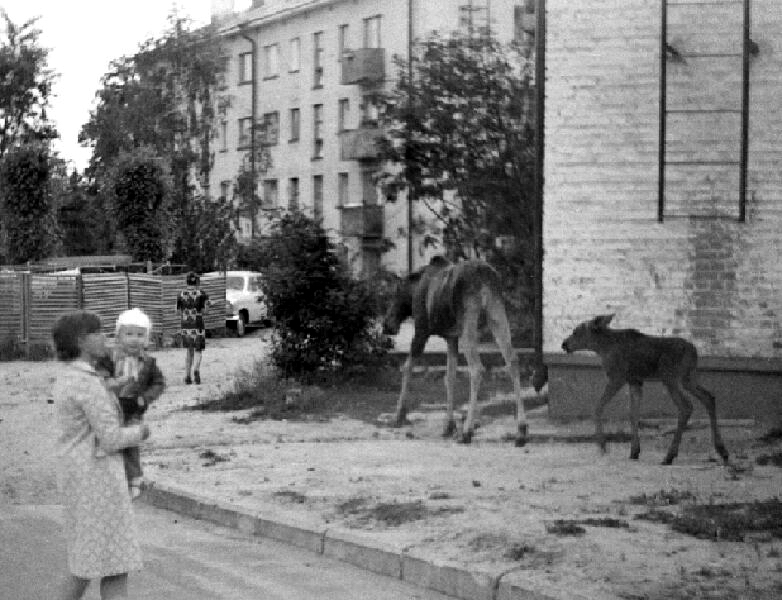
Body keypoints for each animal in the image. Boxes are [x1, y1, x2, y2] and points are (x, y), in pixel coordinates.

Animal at [384, 254, 536, 446]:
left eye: (396, 292)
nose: (386, 324)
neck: (415, 286)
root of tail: (485, 276)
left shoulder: (422, 331)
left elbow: (407, 368)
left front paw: (399, 414)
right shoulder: (451, 338)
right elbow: (449, 377)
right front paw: (448, 426)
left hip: (468, 322)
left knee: (477, 368)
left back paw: (467, 432)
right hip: (496, 314)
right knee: (512, 360)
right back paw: (521, 430)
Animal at [564, 314, 728, 464]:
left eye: (576, 331)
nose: (564, 344)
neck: (602, 347)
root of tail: (694, 352)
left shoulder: (617, 377)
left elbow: (598, 407)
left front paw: (603, 446)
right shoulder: (635, 381)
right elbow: (633, 414)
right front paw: (634, 451)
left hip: (670, 378)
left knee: (686, 406)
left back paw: (669, 456)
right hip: (688, 378)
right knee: (708, 397)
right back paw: (722, 450)